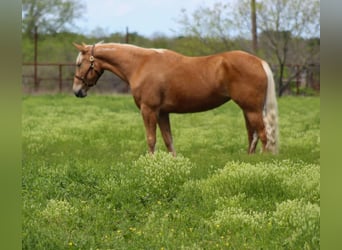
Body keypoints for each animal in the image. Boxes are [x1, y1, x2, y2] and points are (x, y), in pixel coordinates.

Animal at [72, 42, 278, 155]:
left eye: (79, 63)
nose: (77, 91)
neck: (140, 64)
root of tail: (259, 62)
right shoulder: (163, 113)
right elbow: (168, 140)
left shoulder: (149, 110)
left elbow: (151, 139)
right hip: (247, 110)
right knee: (252, 136)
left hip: (251, 109)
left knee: (263, 135)